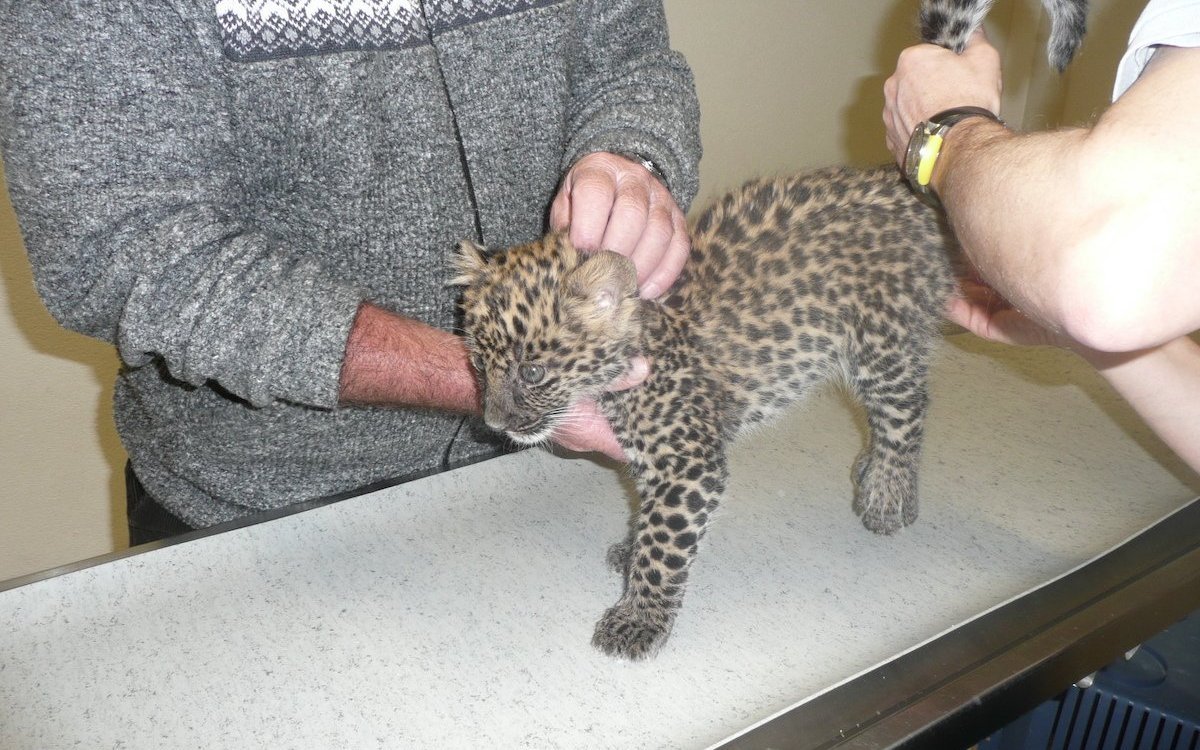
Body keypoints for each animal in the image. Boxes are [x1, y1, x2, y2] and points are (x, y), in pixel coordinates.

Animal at [453, 0, 1088, 660]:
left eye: (533, 370)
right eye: (478, 364)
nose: (493, 423)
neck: (644, 341)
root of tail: (896, 178)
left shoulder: (688, 462)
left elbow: (664, 545)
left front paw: (638, 617)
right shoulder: (659, 458)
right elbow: (646, 516)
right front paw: (630, 554)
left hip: (882, 342)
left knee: (906, 410)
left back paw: (887, 493)